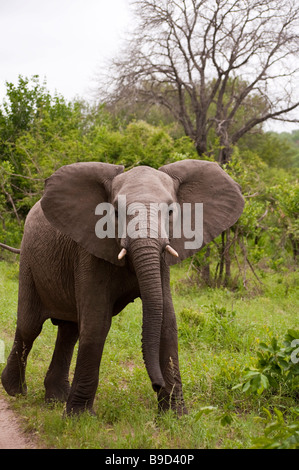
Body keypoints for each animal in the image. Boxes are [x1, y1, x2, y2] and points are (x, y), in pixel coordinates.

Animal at [0, 161, 246, 414]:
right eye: (116, 212)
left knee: (69, 331)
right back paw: (16, 391)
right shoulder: (89, 254)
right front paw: (79, 416)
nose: (156, 385)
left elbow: (166, 322)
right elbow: (97, 323)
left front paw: (175, 415)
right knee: (30, 326)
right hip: (28, 261)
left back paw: (56, 399)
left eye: (170, 212)